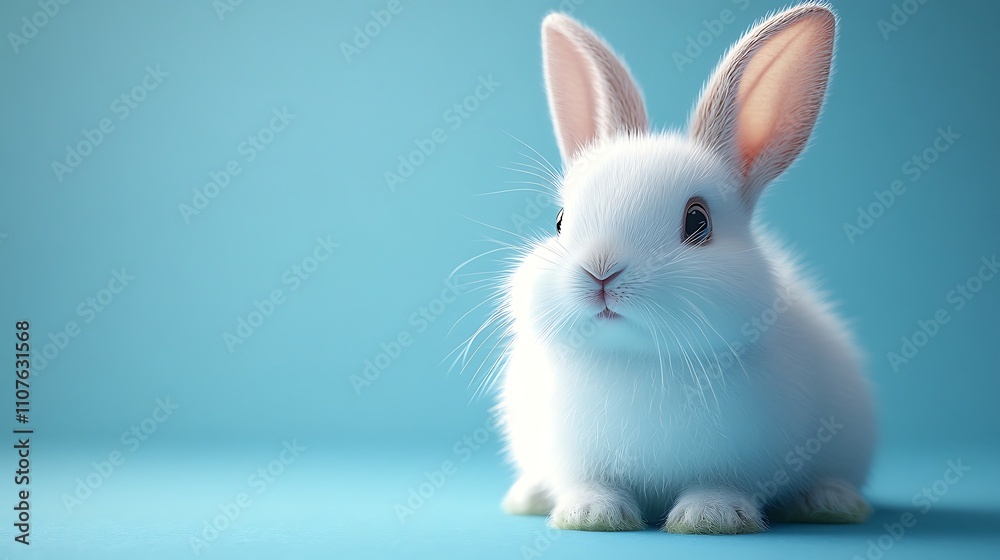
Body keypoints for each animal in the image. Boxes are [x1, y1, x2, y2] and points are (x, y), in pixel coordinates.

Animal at [495, 2, 876, 534]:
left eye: (698, 221)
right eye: (560, 221)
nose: (601, 272)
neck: (636, 359)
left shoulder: (738, 458)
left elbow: (717, 484)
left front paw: (710, 517)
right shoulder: (574, 457)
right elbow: (590, 483)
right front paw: (591, 514)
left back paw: (829, 501)